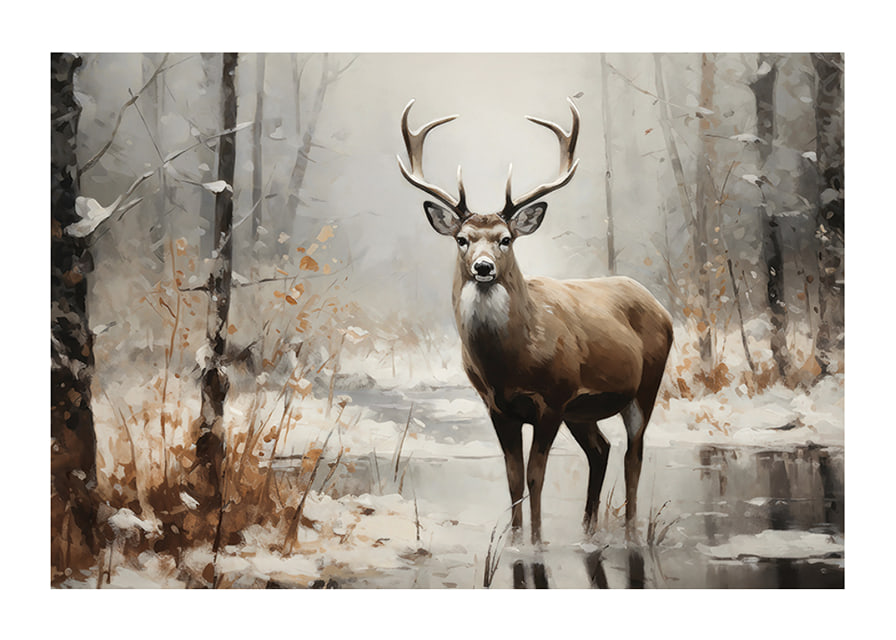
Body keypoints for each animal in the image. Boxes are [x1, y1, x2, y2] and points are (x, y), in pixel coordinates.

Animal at [398, 98, 673, 545]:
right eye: (462, 239)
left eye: (506, 239)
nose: (484, 268)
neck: (511, 362)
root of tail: (658, 305)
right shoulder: (497, 405)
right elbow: (512, 477)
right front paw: (514, 541)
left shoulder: (553, 398)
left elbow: (535, 475)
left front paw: (537, 542)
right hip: (583, 411)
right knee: (601, 450)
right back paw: (587, 530)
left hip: (644, 385)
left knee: (633, 455)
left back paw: (630, 532)